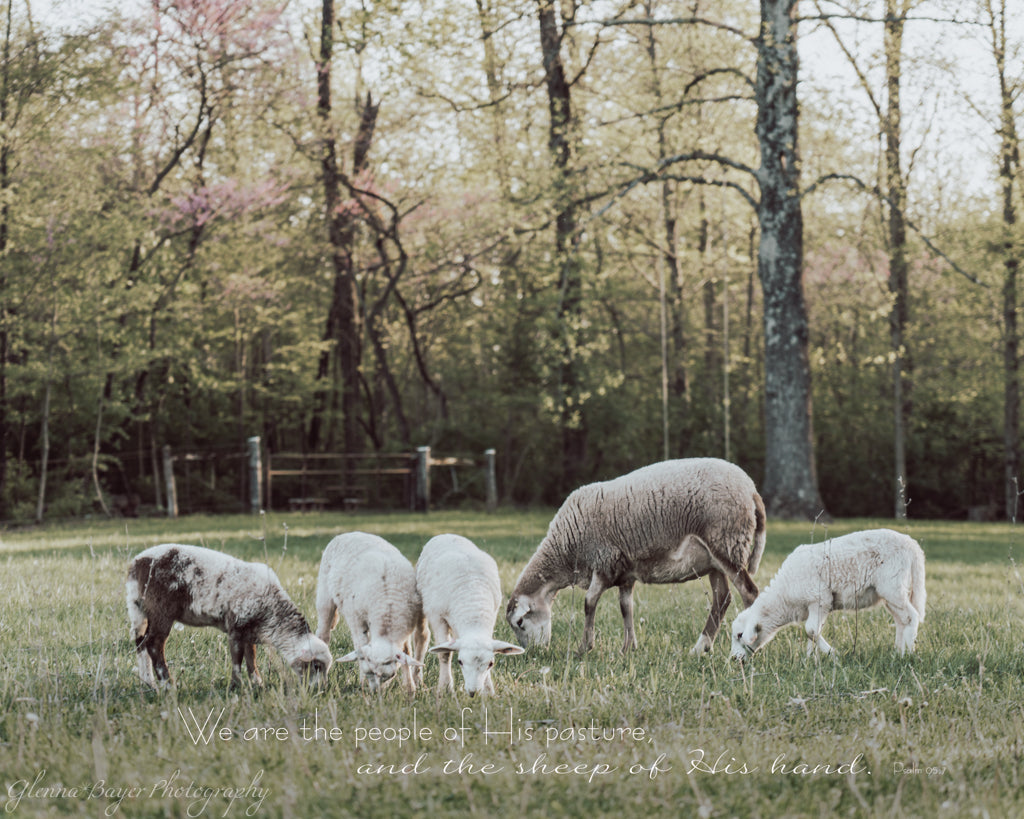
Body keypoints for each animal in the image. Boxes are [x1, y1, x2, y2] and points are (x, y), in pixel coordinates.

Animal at [125, 543, 332, 689]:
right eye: (316, 666)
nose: (320, 690)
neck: (272, 613)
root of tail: (136, 564)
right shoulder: (236, 627)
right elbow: (237, 659)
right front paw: (235, 686)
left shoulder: (249, 630)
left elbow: (251, 657)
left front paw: (257, 683)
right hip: (161, 610)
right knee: (154, 645)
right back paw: (167, 684)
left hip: (140, 611)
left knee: (141, 643)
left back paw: (148, 683)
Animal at [315, 531, 428, 693]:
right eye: (368, 672)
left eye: (388, 675)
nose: (375, 693)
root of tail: (348, 533)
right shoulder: (356, 619)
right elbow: (360, 645)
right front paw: (362, 683)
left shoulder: (408, 623)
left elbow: (406, 652)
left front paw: (409, 688)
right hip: (324, 595)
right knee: (323, 634)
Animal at [415, 533, 525, 696]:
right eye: (460, 662)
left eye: (491, 664)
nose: (473, 692)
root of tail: (447, 534)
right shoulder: (437, 616)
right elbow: (444, 654)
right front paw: (445, 688)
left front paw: (488, 691)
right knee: (422, 636)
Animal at [505, 458, 766, 656]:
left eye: (520, 622)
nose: (533, 653)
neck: (566, 550)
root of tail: (751, 489)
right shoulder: (624, 572)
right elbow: (626, 608)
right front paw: (628, 648)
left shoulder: (604, 562)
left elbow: (589, 603)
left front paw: (584, 647)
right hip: (715, 561)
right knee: (722, 599)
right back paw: (700, 648)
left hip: (726, 543)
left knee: (749, 593)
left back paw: (751, 649)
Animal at [730, 528, 926, 659]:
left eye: (739, 635)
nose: (733, 659)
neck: (783, 598)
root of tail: (912, 545)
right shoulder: (818, 606)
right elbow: (812, 632)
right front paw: (809, 658)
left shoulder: (819, 599)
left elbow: (810, 630)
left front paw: (833, 654)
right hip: (890, 593)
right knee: (901, 620)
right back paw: (898, 651)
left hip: (892, 586)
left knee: (911, 617)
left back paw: (907, 655)